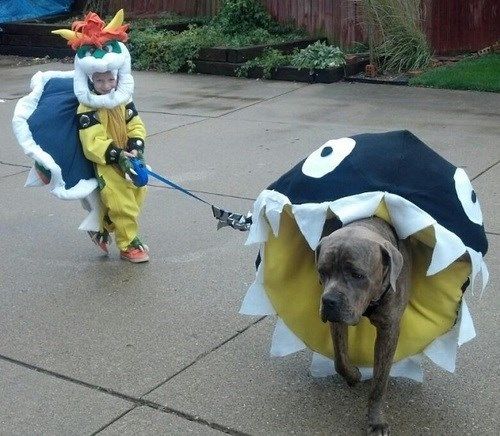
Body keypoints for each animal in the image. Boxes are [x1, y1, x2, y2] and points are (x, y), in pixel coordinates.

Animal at [316, 216, 410, 434]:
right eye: (322, 272)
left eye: (357, 275)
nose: (329, 301)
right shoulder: (338, 322)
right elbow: (340, 359)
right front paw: (353, 376)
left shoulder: (389, 330)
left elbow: (379, 383)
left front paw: (376, 421)